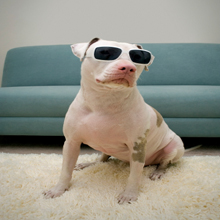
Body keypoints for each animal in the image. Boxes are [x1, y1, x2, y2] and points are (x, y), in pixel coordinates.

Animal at [43, 37, 186, 205]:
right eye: (105, 52)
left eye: (138, 57)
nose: (128, 68)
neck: (104, 101)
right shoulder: (71, 142)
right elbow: (65, 170)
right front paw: (58, 190)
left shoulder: (137, 147)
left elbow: (134, 176)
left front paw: (129, 195)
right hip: (105, 148)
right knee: (102, 159)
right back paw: (88, 163)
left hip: (175, 147)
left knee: (165, 163)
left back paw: (158, 172)